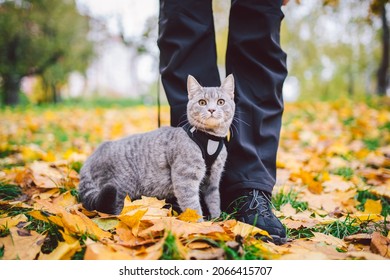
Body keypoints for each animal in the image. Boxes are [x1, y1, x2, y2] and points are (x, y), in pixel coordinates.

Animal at [77, 74, 233, 221]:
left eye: (221, 102)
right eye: (202, 102)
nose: (212, 109)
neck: (209, 139)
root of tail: (92, 157)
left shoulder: (213, 179)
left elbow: (214, 200)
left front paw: (217, 220)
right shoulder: (185, 179)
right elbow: (193, 206)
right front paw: (201, 225)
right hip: (121, 187)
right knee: (113, 211)